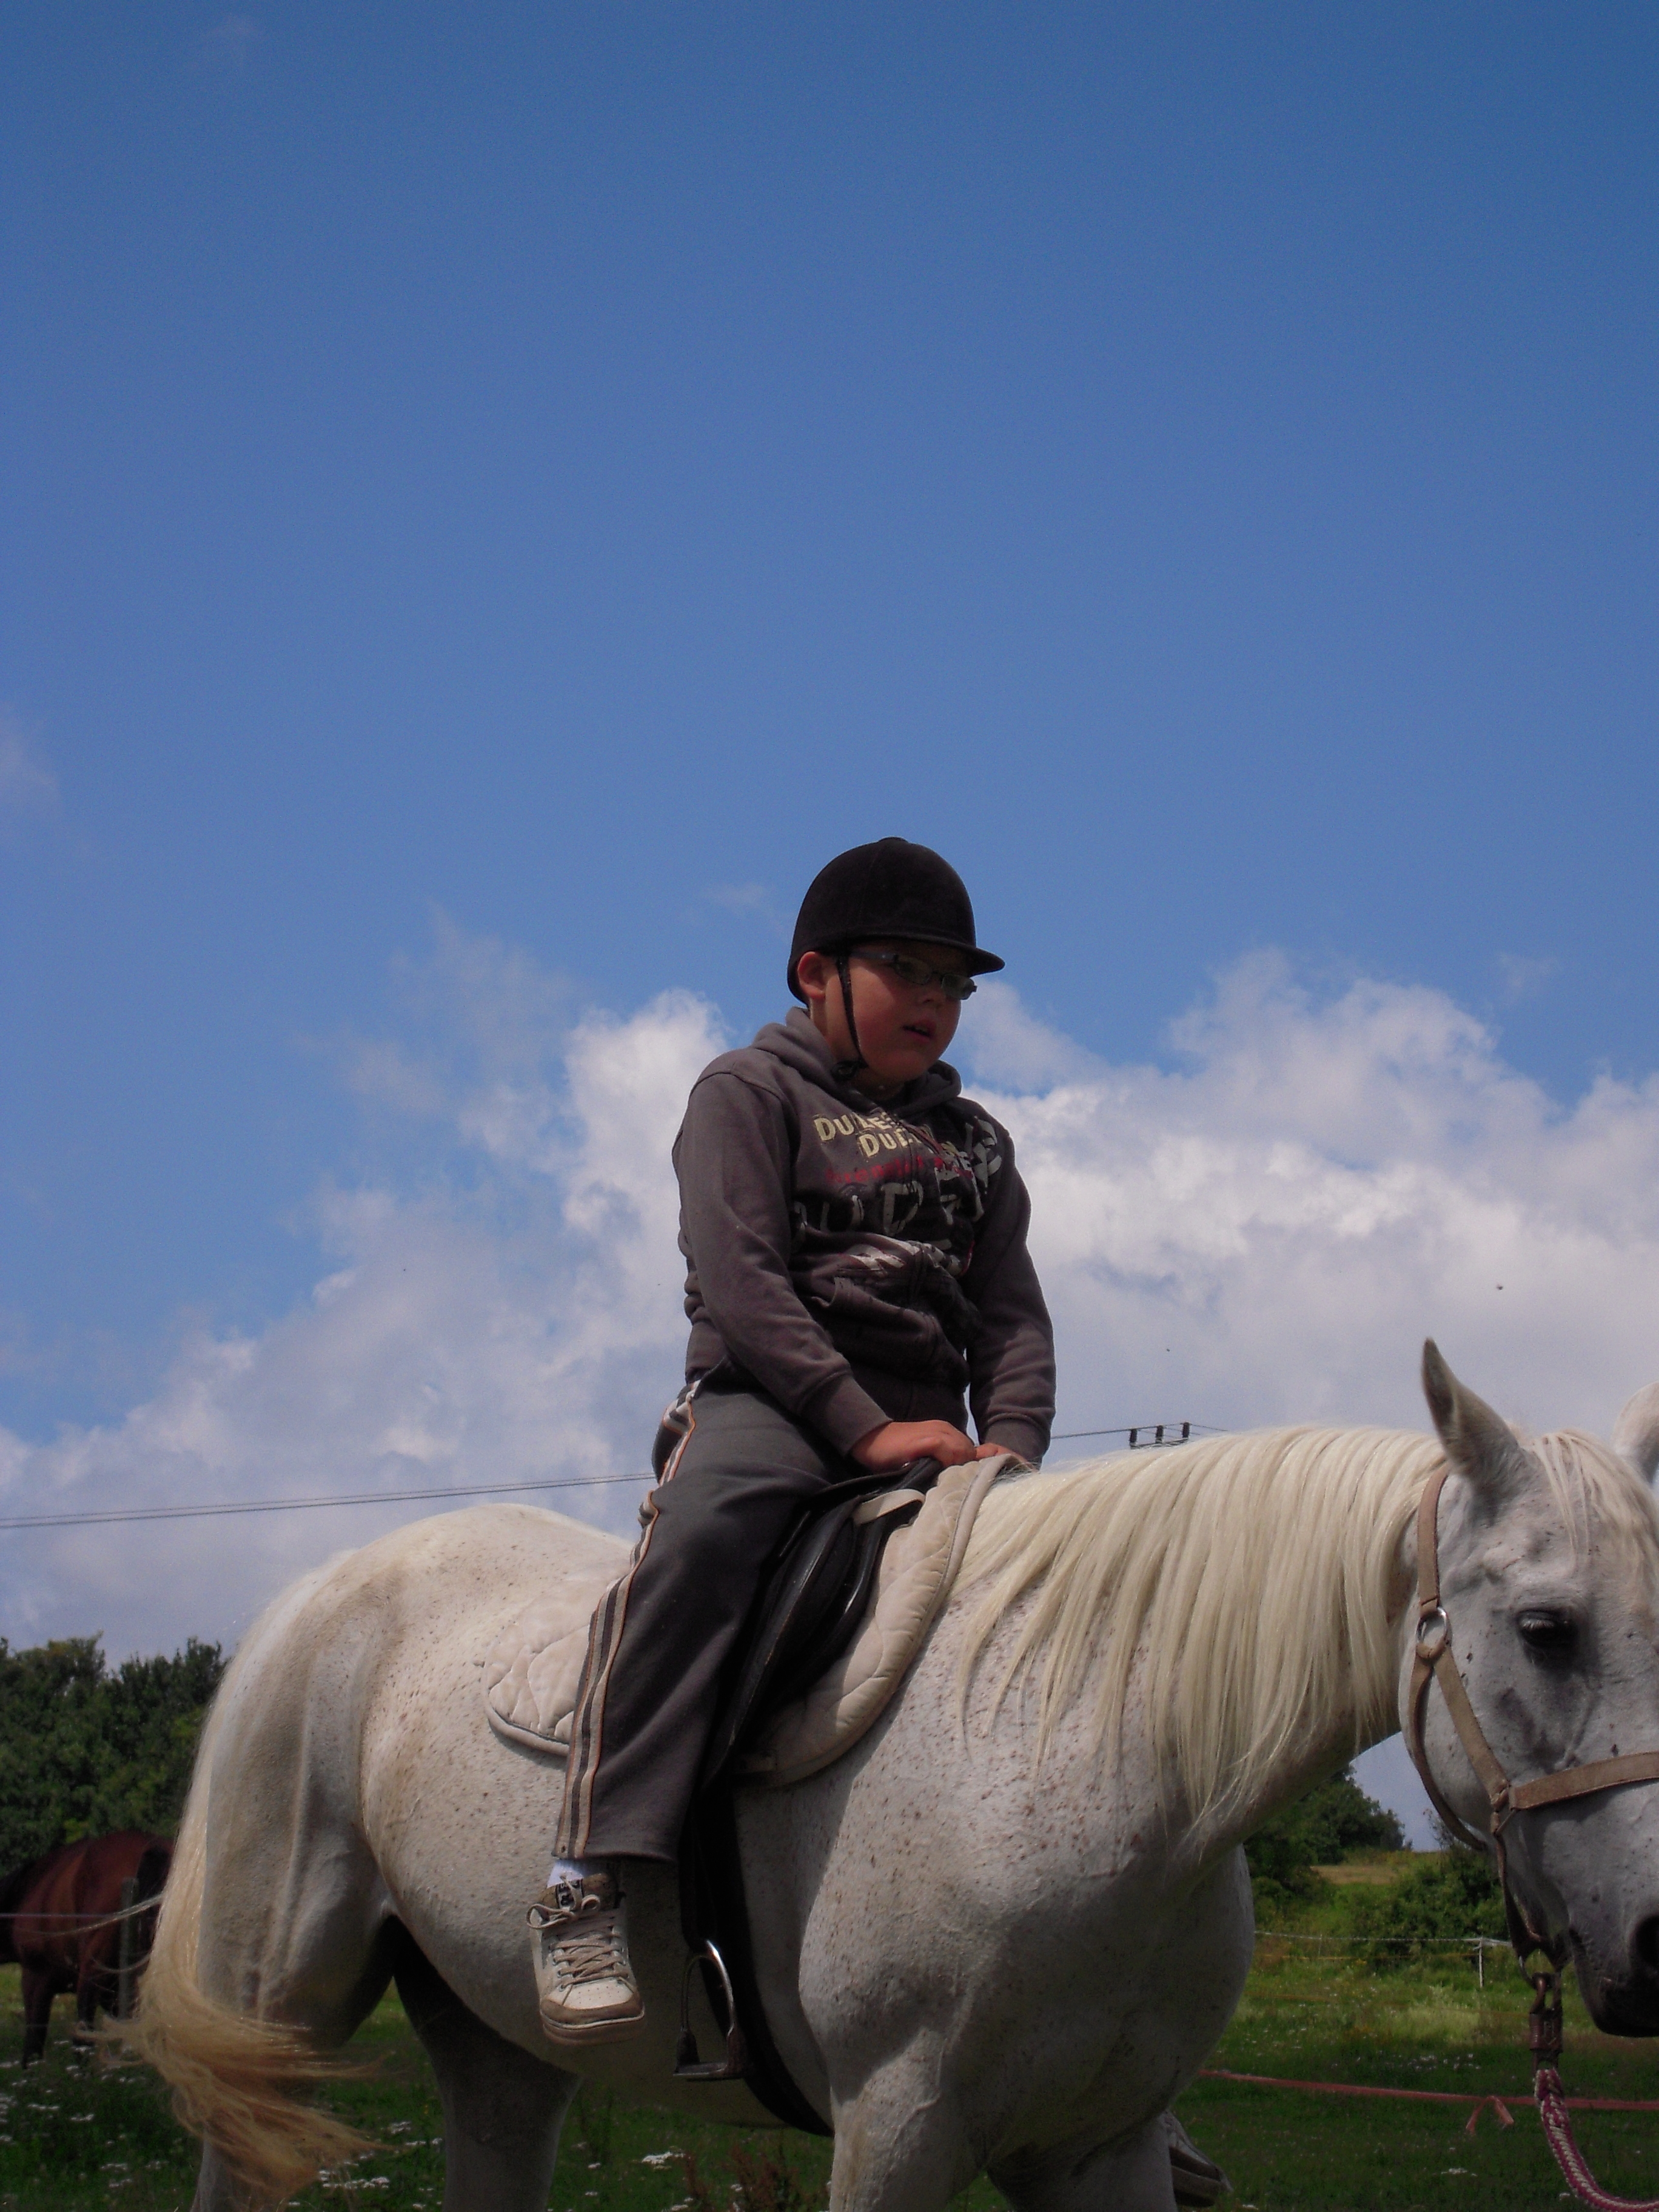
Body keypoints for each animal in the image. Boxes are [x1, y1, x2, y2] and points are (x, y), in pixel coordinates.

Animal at [132, 1344, 1659, 2212]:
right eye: (1543, 1627)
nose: (1652, 1950)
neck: (1094, 1747)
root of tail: (315, 1597)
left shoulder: (1100, 2150)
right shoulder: (895, 2125)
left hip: (499, 2051)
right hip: (280, 2009)